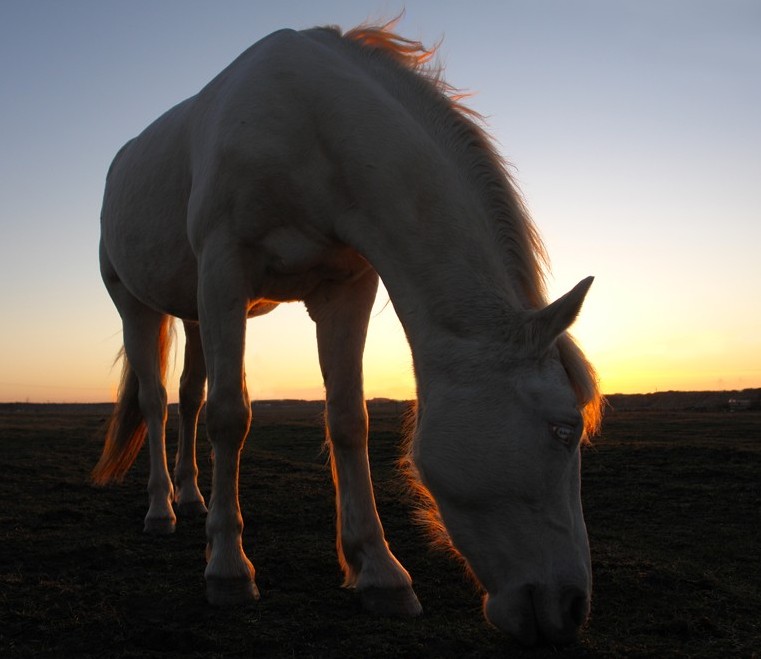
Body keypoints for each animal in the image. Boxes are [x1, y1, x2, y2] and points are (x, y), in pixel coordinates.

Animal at [90, 23, 600, 648]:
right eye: (564, 430)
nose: (573, 607)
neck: (310, 126)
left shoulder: (345, 289)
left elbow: (348, 420)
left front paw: (380, 573)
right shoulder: (224, 271)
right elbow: (230, 416)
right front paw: (229, 570)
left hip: (193, 312)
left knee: (186, 399)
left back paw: (189, 497)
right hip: (136, 304)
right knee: (156, 401)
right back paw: (161, 509)